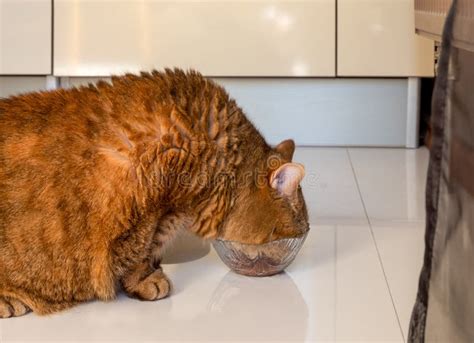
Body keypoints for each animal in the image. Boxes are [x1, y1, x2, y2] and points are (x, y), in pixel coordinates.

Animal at [0, 70, 310, 320]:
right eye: (294, 233)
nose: (277, 265)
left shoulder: (169, 210)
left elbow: (151, 245)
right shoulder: (148, 196)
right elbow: (138, 249)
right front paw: (143, 279)